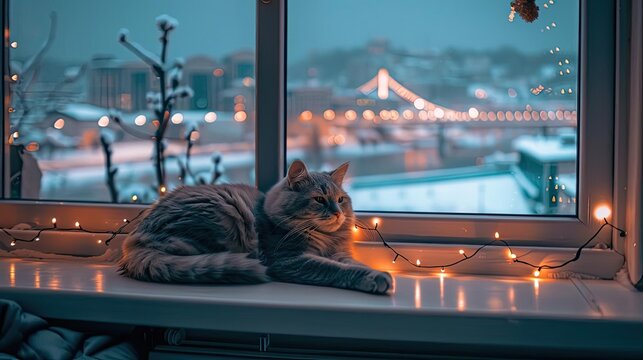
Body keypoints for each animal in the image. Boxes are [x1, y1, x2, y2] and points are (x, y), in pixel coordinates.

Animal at [118, 161, 394, 296]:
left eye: (340, 199)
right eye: (318, 199)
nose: (337, 213)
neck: (326, 238)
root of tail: (136, 240)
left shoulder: (340, 254)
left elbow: (355, 265)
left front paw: (376, 275)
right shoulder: (290, 259)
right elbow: (336, 270)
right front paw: (376, 278)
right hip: (223, 215)